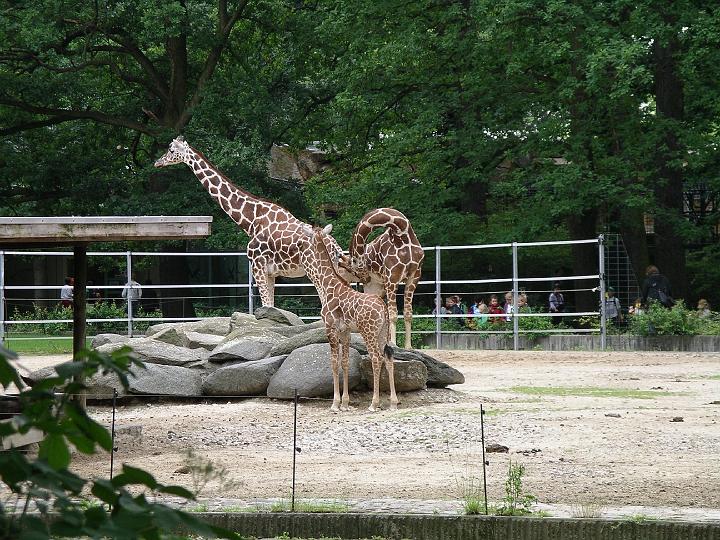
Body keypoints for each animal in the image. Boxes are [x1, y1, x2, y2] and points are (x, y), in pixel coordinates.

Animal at [153, 136, 348, 308]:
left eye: (171, 150)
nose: (157, 162)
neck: (251, 220)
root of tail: (335, 247)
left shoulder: (257, 266)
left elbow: (267, 307)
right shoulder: (271, 272)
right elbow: (271, 307)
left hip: (314, 270)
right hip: (337, 270)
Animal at [306, 226, 400, 412]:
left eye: (311, 237)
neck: (327, 285)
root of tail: (383, 308)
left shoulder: (330, 328)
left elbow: (334, 363)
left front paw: (335, 404)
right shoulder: (345, 331)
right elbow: (345, 362)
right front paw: (345, 403)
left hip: (368, 332)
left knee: (376, 358)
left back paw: (374, 403)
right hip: (382, 333)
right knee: (388, 357)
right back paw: (393, 403)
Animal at [342, 207, 424, 350]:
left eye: (355, 263)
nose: (365, 278)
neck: (402, 231)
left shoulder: (414, 276)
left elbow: (408, 313)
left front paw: (408, 347)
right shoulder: (392, 277)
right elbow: (393, 314)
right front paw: (393, 344)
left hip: (378, 288)